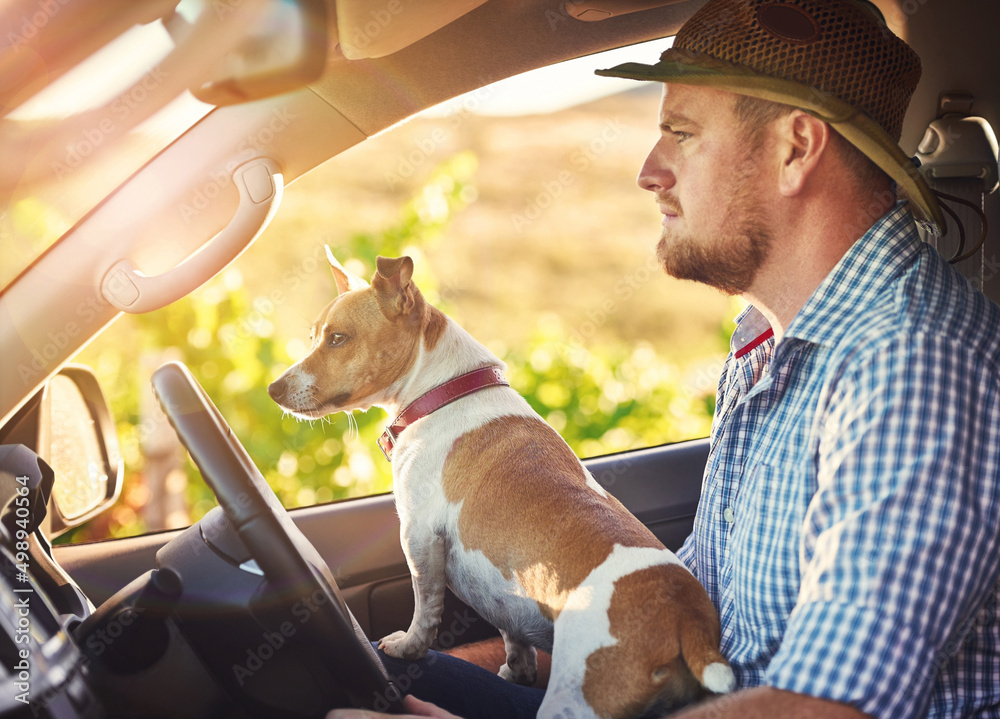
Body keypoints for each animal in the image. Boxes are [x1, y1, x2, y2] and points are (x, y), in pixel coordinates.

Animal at [266, 249, 736, 719]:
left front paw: (409, 646)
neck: (445, 392)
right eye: (314, 336)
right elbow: (512, 628)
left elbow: (426, 607)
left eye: (338, 339)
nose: (272, 389)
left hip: (577, 699)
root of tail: (686, 619)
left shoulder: (419, 536)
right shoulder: (505, 596)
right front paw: (518, 669)